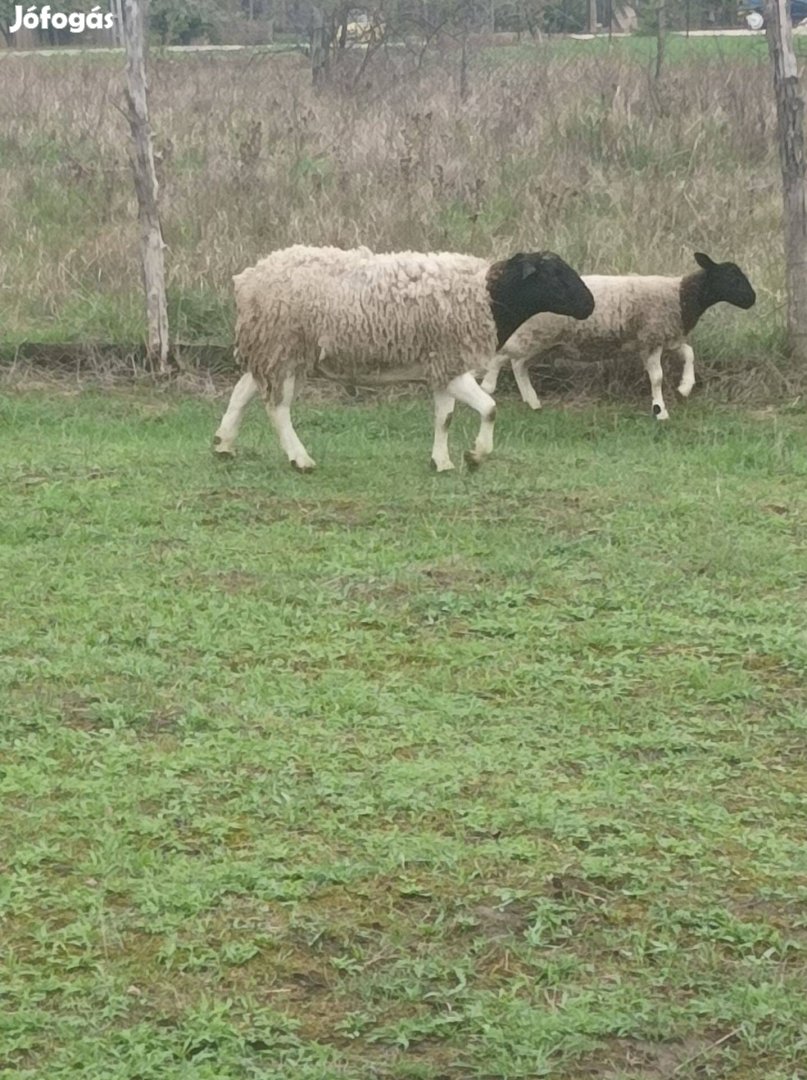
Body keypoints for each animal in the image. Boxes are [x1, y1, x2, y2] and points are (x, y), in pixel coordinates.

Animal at [212, 247, 592, 470]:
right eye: (554, 275)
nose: (590, 306)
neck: (487, 295)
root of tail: (247, 281)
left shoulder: (442, 368)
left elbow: (445, 418)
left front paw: (442, 461)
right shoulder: (451, 363)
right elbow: (489, 408)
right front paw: (475, 455)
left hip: (272, 348)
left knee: (243, 392)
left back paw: (223, 444)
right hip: (285, 347)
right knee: (278, 408)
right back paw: (300, 458)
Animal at [479, 254, 756, 419]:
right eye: (732, 277)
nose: (752, 300)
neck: (681, 296)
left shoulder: (667, 336)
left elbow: (689, 354)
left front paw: (685, 387)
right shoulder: (651, 338)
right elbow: (657, 377)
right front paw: (660, 410)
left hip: (544, 341)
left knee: (519, 365)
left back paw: (532, 401)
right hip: (534, 335)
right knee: (503, 357)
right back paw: (488, 386)